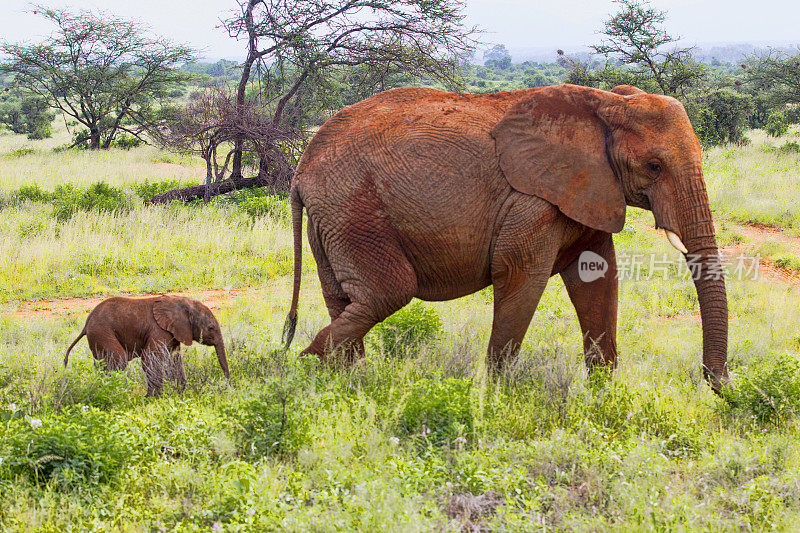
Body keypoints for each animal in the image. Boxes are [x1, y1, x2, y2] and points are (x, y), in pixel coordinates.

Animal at [64, 296, 230, 394]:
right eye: (211, 328)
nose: (229, 385)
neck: (181, 302)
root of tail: (86, 324)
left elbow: (175, 361)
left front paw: (179, 393)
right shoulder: (159, 330)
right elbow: (150, 359)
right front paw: (153, 398)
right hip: (102, 332)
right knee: (119, 361)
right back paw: (117, 393)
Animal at [282, 83, 732, 390]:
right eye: (655, 166)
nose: (718, 383)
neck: (604, 103)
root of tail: (301, 169)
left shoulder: (588, 190)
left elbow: (598, 279)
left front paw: (604, 396)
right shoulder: (532, 204)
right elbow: (521, 279)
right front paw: (496, 396)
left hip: (333, 217)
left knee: (347, 299)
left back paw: (347, 383)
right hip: (352, 207)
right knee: (387, 291)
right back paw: (294, 373)